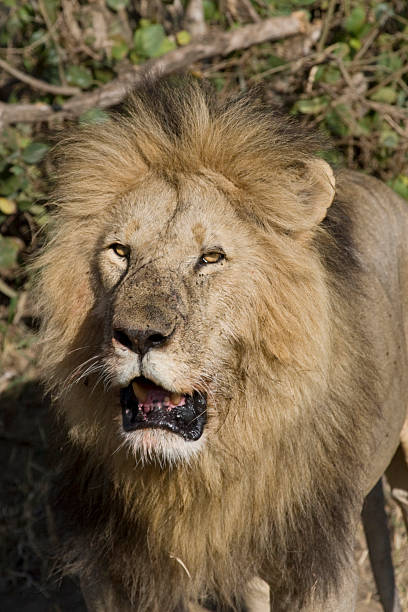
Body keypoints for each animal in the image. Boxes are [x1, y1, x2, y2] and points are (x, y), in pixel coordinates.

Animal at [32, 79, 408, 608]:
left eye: (211, 258)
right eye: (120, 251)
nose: (138, 336)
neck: (201, 477)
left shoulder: (313, 565)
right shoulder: (119, 574)